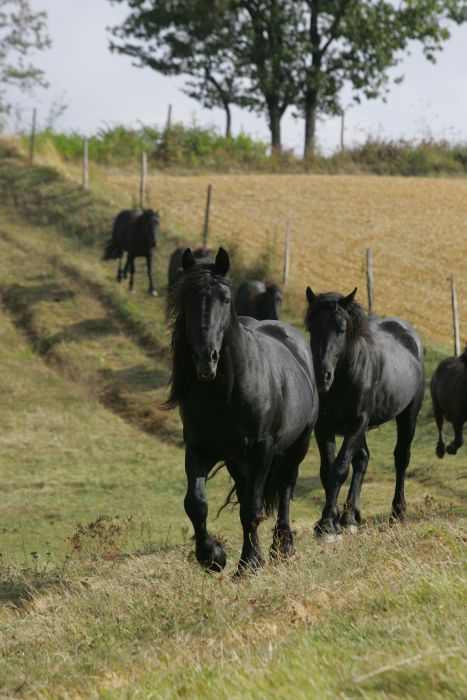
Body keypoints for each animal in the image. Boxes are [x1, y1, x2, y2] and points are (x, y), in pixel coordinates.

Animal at [164, 249, 318, 572]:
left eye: (225, 299)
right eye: (188, 300)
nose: (206, 358)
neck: (226, 393)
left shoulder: (262, 450)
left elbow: (251, 507)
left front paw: (249, 562)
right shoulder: (199, 448)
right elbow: (195, 503)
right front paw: (212, 556)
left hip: (298, 444)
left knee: (286, 487)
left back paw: (283, 546)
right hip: (237, 461)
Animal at [306, 288, 426, 540]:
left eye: (341, 329)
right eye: (312, 328)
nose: (322, 376)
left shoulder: (357, 422)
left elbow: (339, 468)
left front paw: (327, 525)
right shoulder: (324, 427)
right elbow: (327, 470)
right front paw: (331, 521)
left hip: (408, 415)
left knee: (401, 458)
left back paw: (397, 513)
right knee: (362, 459)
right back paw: (350, 517)